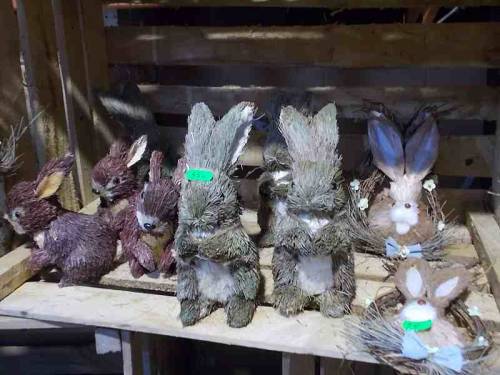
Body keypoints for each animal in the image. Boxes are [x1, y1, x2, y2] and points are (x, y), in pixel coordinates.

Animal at [175, 101, 260, 328]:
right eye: (184, 191)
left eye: (221, 196)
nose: (196, 214)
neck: (205, 230)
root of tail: (218, 298)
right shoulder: (181, 232)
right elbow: (179, 246)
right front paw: (192, 245)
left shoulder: (236, 236)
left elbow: (226, 245)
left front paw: (203, 247)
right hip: (188, 279)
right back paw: (189, 314)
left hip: (244, 275)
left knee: (243, 296)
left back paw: (238, 316)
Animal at [274, 104, 356, 318]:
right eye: (292, 183)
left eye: (335, 185)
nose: (310, 198)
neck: (314, 215)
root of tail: (312, 295)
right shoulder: (287, 222)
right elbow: (290, 232)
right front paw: (305, 242)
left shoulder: (342, 224)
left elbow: (337, 233)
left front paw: (319, 243)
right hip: (285, 265)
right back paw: (289, 301)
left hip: (343, 270)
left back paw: (335, 305)